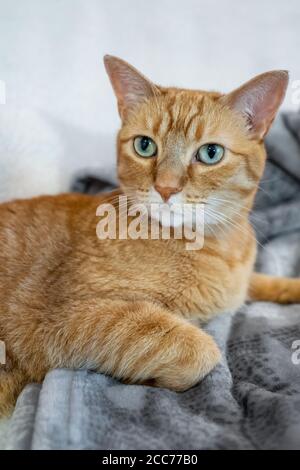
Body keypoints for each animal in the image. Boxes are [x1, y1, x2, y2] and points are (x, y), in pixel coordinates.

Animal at [0, 56, 300, 414]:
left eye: (210, 153)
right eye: (145, 146)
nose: (166, 188)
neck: (219, 248)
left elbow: (261, 281)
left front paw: (291, 287)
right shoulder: (67, 318)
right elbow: (201, 350)